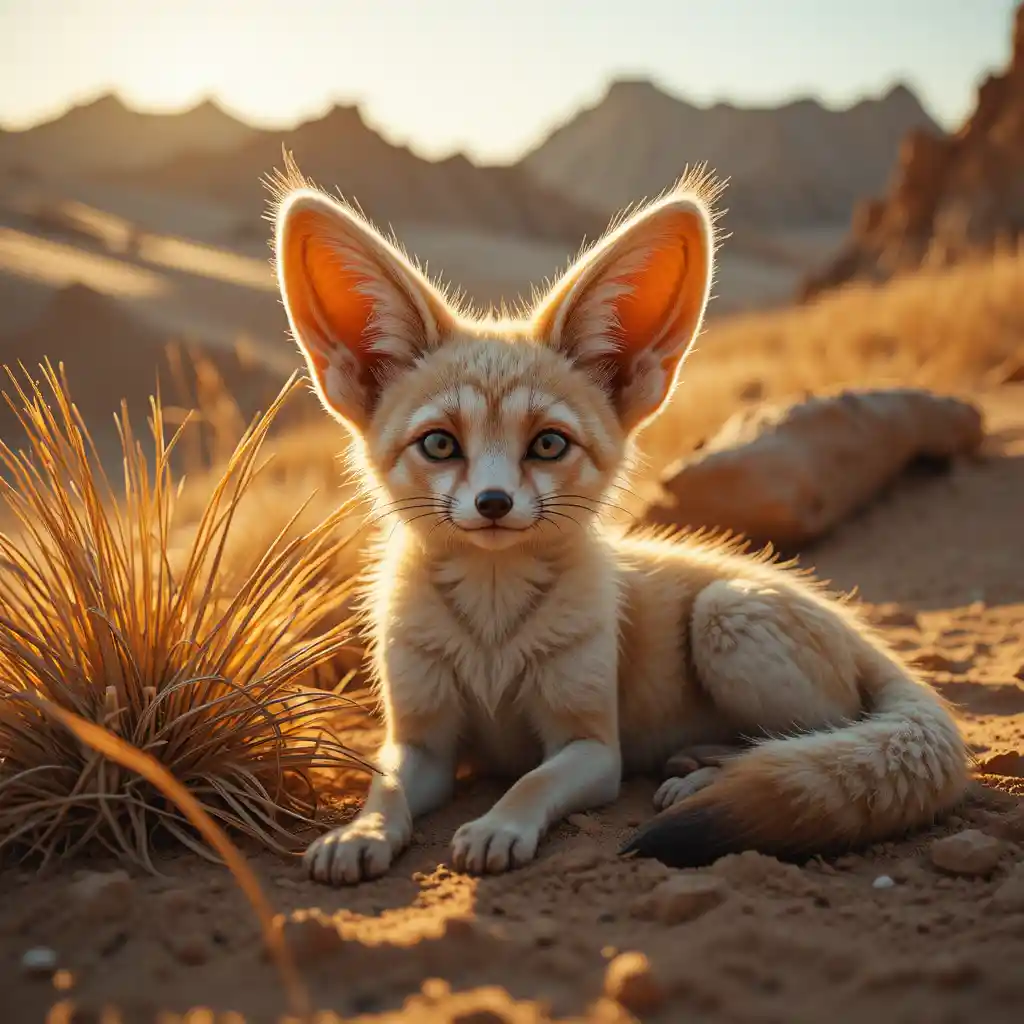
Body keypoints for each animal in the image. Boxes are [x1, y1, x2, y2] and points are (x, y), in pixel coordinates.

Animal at [271, 161, 969, 886]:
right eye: (439, 444)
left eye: (548, 444)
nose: (493, 503)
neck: (492, 633)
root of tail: (854, 625)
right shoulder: (421, 741)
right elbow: (383, 785)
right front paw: (359, 832)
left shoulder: (591, 745)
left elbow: (531, 781)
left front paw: (497, 826)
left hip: (726, 618)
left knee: (821, 735)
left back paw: (703, 775)